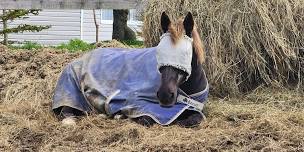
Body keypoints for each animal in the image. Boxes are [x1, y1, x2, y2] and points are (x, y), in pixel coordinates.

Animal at [52, 12, 209, 127]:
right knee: (67, 109)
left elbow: (195, 118)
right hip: (70, 89)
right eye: (160, 51)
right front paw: (122, 115)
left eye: (185, 54)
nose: (165, 95)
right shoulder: (138, 103)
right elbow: (146, 119)